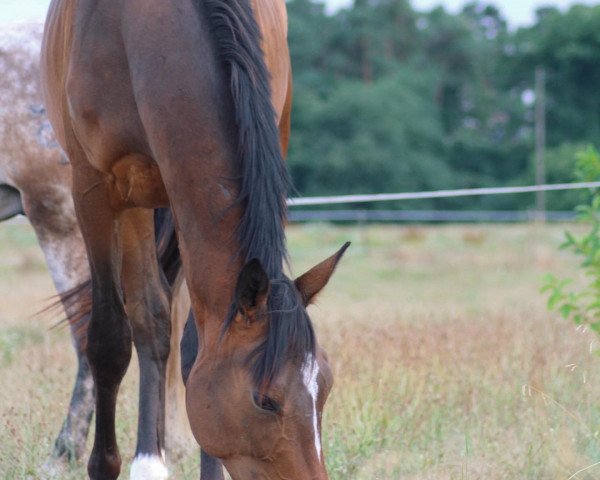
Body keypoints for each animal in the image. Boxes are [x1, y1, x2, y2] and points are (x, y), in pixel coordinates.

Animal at [42, 0, 346, 480]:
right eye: (265, 401)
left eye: (327, 386)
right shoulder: (93, 189)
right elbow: (109, 339)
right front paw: (104, 465)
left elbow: (192, 349)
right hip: (136, 201)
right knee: (147, 318)